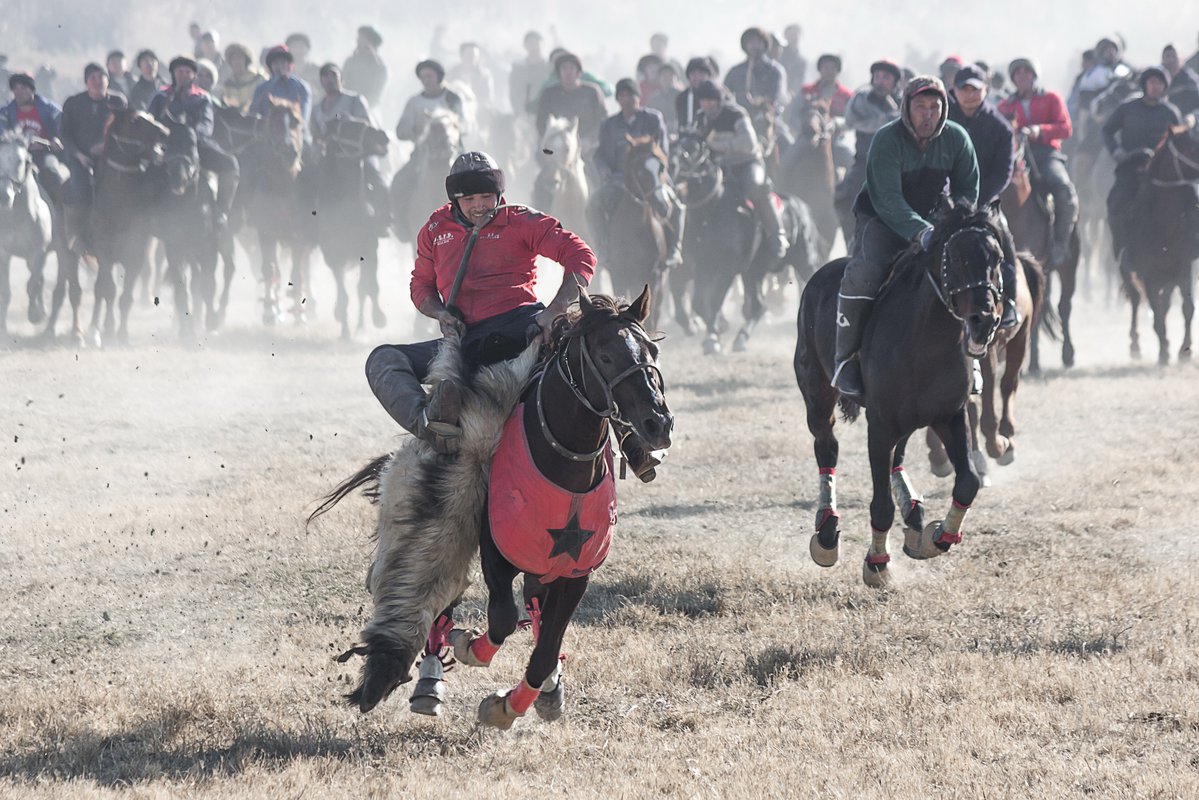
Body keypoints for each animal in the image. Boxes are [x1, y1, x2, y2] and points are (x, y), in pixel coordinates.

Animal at [796, 200, 1002, 587]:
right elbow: (880, 504)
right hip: (816, 391)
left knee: (899, 456)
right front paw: (877, 562)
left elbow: (968, 481)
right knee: (826, 445)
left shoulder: (949, 415)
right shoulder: (880, 424)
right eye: (958, 258)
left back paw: (914, 510)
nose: (985, 320)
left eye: (997, 259)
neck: (926, 341)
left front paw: (940, 535)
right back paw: (827, 530)